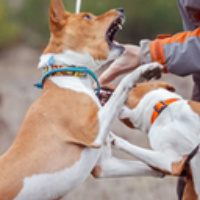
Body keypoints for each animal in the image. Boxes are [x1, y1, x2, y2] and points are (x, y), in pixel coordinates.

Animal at [0, 0, 164, 200]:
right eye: (87, 16)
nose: (121, 9)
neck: (68, 75)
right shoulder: (94, 130)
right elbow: (125, 82)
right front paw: (143, 71)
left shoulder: (105, 166)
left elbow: (150, 167)